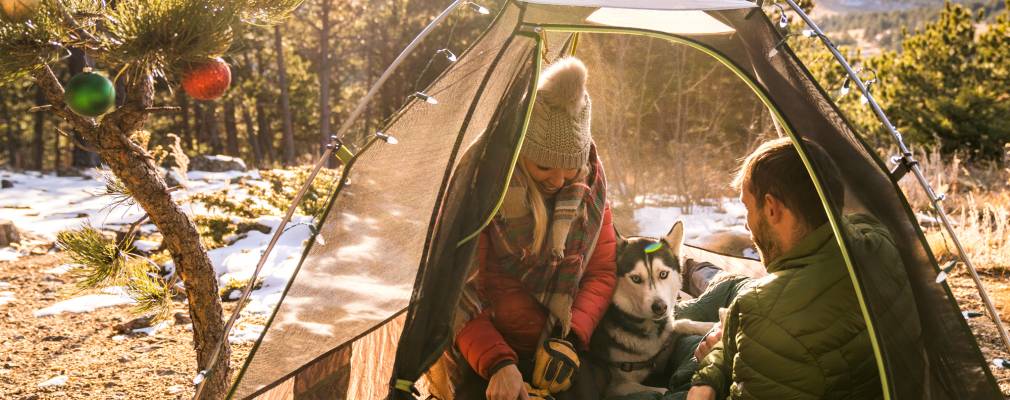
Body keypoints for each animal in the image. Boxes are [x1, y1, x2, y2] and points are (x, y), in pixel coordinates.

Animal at [589, 222, 719, 395]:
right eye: (636, 278)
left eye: (663, 274)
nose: (660, 307)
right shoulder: (616, 387)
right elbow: (661, 391)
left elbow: (681, 323)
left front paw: (713, 325)